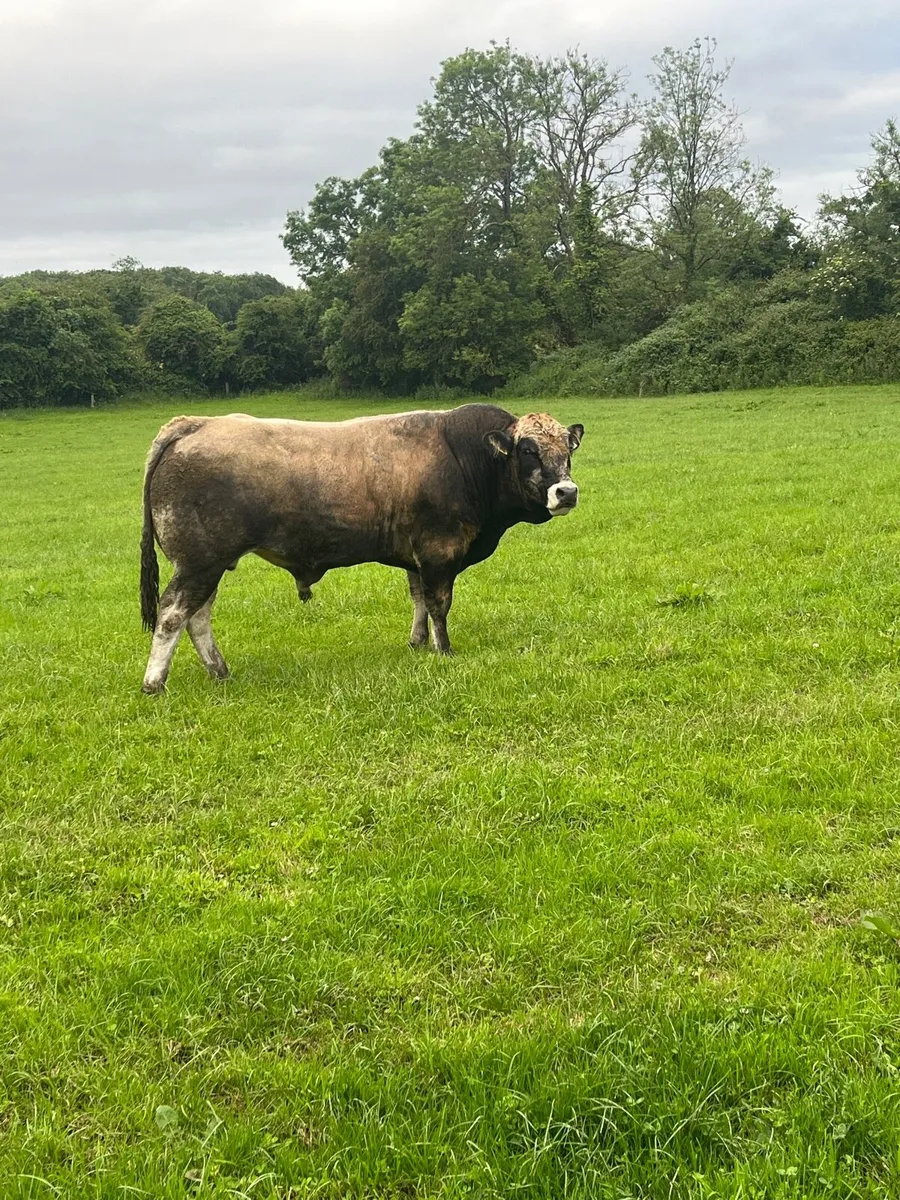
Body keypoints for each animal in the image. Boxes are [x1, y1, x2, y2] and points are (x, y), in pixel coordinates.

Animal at [139, 403, 584, 693]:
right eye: (527, 449)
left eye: (568, 449)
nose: (566, 492)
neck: (463, 458)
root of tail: (196, 423)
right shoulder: (439, 551)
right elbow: (439, 604)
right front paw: (443, 650)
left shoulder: (416, 556)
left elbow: (418, 599)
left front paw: (417, 643)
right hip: (200, 562)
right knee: (174, 614)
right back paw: (154, 682)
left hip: (209, 563)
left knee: (197, 617)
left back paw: (219, 671)